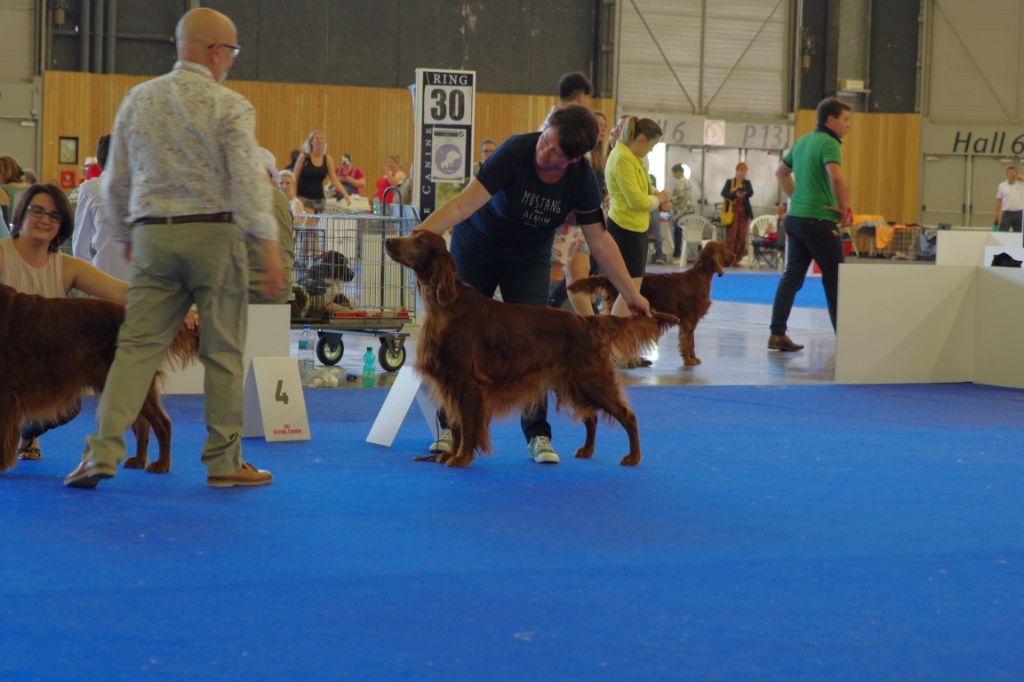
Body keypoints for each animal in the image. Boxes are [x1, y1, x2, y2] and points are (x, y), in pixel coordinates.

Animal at [380, 231, 675, 464]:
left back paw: (633, 457)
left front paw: (461, 459)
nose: (388, 241)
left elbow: (468, 426)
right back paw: (587, 451)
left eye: (419, 241)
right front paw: (449, 455)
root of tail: (588, 320)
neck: (446, 306)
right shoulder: (452, 383)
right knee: (591, 417)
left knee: (628, 416)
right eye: (411, 235)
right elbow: (457, 425)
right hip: (573, 383)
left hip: (592, 380)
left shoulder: (468, 384)